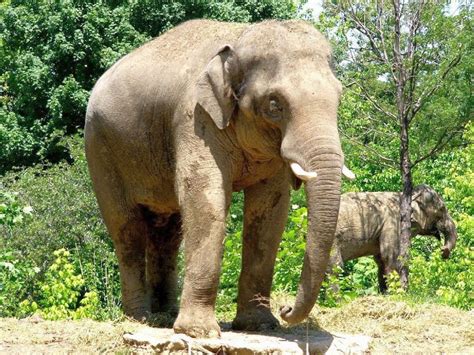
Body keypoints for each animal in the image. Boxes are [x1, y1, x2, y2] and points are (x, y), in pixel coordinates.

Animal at [85, 20, 354, 340]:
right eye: (274, 104)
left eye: (339, 98)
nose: (285, 309)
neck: (238, 40)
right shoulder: (195, 118)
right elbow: (205, 198)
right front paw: (198, 332)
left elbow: (270, 210)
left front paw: (259, 325)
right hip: (101, 149)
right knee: (127, 228)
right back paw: (140, 318)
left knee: (167, 232)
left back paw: (164, 316)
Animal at [328, 185, 458, 294]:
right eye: (442, 209)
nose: (443, 251)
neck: (404, 195)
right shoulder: (393, 224)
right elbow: (391, 257)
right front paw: (399, 294)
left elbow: (381, 260)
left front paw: (384, 294)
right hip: (333, 241)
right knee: (334, 267)